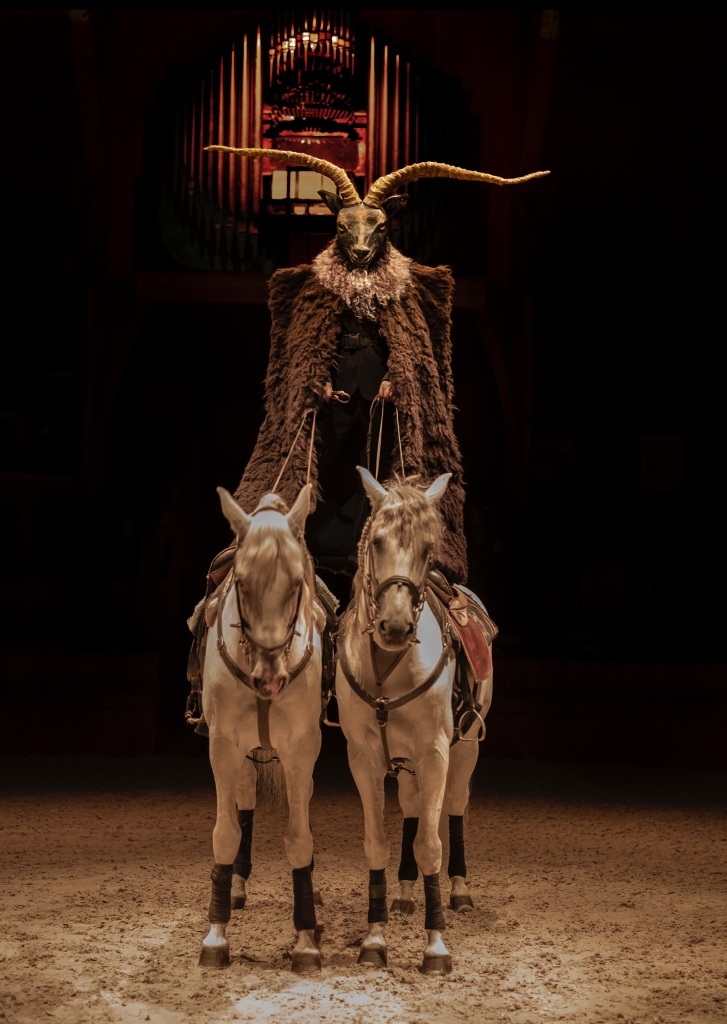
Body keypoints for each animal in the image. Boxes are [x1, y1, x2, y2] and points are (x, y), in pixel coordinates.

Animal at [197, 483, 325, 970]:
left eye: (295, 583)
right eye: (243, 582)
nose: (270, 678)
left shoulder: (302, 750)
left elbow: (299, 836)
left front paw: (306, 937)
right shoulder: (223, 746)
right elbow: (227, 832)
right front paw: (216, 935)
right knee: (245, 802)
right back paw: (235, 886)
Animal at [333, 468, 464, 970]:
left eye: (428, 548)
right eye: (377, 541)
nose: (394, 626)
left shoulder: (436, 754)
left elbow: (430, 843)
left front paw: (436, 945)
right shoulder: (364, 760)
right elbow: (378, 843)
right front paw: (375, 938)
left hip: (466, 752)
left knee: (456, 807)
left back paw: (459, 891)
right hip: (405, 764)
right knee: (410, 807)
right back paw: (406, 894)